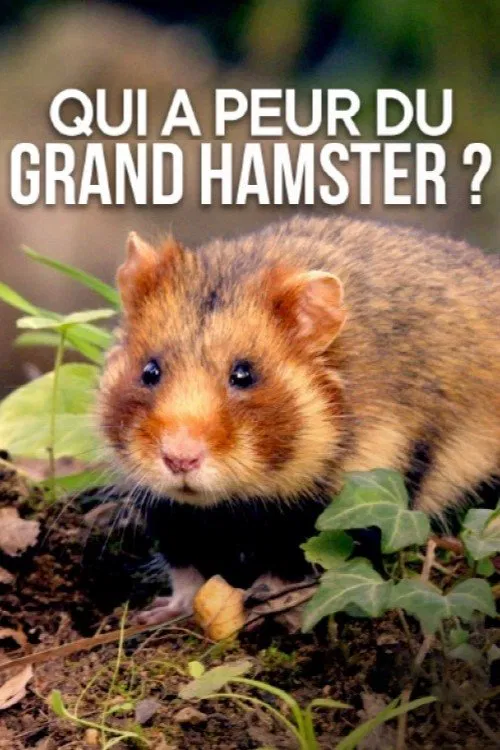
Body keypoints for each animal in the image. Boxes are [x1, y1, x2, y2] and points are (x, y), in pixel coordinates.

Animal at [98, 215, 500, 623]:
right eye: (149, 371)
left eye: (244, 374)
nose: (180, 460)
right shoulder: (172, 513)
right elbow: (188, 568)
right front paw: (157, 613)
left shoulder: (350, 493)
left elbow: (292, 559)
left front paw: (265, 598)